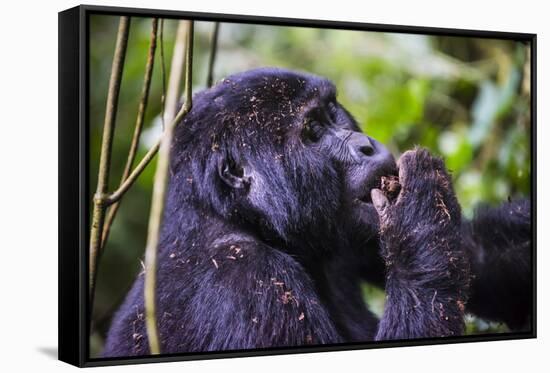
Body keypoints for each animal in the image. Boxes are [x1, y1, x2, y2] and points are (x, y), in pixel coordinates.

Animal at [103, 68, 536, 356]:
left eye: (332, 112)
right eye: (312, 130)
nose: (366, 144)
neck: (238, 217)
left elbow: (481, 258)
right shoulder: (244, 282)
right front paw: (421, 213)